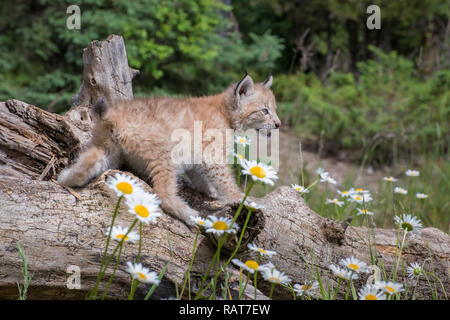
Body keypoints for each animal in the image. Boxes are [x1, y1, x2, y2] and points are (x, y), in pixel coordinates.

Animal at [57, 74, 280, 226]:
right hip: (164, 151)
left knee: (87, 161)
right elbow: (226, 182)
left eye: (274, 110)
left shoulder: (199, 156)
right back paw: (191, 216)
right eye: (265, 110)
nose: (278, 124)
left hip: (108, 150)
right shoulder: (212, 155)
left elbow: (201, 176)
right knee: (163, 193)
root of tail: (112, 114)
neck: (225, 113)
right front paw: (242, 199)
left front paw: (211, 191)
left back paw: (66, 178)